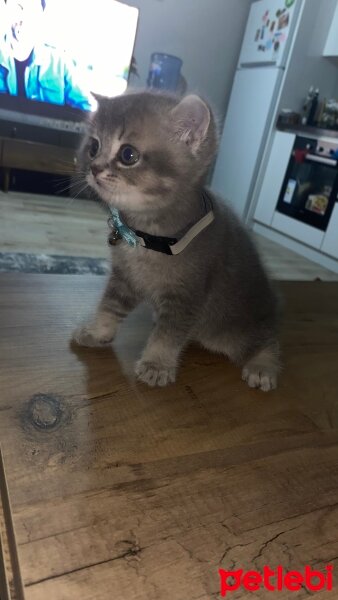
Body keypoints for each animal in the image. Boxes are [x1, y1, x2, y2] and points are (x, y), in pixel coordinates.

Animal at [72, 89, 282, 390]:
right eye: (93, 147)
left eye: (128, 154)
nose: (94, 168)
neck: (146, 236)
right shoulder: (123, 278)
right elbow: (109, 307)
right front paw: (97, 332)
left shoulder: (187, 295)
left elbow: (168, 335)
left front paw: (156, 365)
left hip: (237, 328)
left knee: (265, 340)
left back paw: (263, 365)